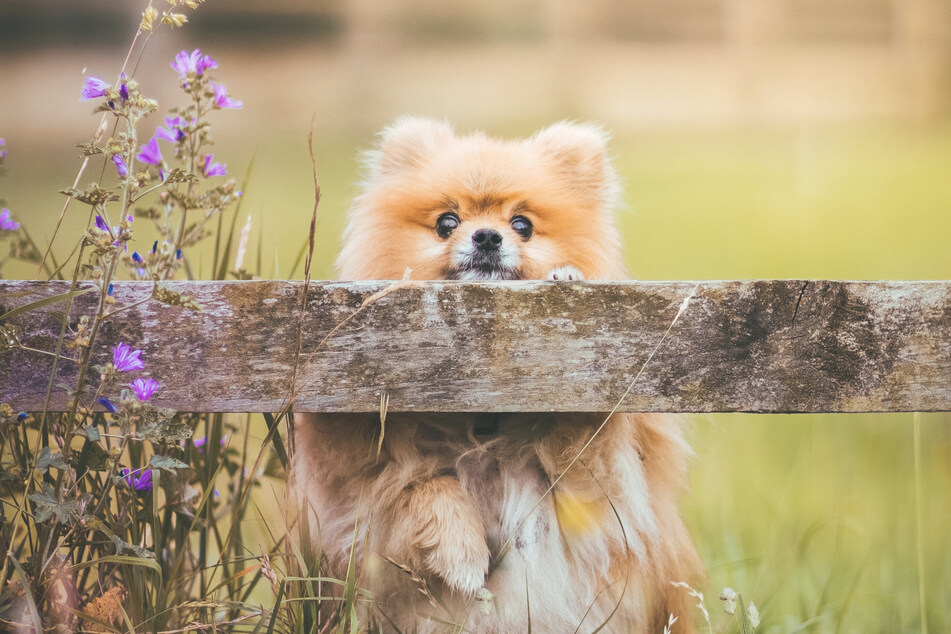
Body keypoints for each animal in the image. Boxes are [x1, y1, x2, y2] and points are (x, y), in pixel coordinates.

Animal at [294, 118, 704, 632]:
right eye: (447, 222)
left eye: (522, 225)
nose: (487, 237)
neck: (484, 414)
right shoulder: (351, 488)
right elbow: (418, 482)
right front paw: (462, 553)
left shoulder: (603, 493)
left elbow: (583, 440)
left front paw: (568, 280)